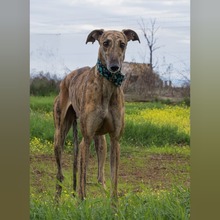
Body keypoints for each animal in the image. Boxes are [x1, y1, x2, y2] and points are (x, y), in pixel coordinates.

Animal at [53, 28, 139, 200]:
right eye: (105, 43)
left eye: (122, 44)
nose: (114, 67)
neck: (107, 87)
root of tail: (66, 78)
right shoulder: (85, 140)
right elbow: (83, 181)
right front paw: (81, 202)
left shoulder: (115, 140)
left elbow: (114, 182)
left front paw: (113, 204)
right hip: (60, 134)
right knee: (61, 173)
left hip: (101, 141)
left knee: (100, 176)